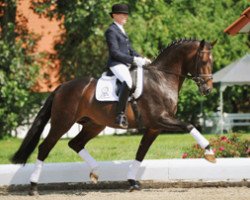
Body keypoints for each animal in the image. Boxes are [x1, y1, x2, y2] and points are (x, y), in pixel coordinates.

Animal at [11, 38, 216, 195]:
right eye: (203, 61)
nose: (207, 89)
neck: (162, 79)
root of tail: (62, 86)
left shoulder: (154, 127)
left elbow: (141, 152)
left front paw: (132, 181)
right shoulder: (160, 119)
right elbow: (189, 126)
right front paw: (209, 153)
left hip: (94, 125)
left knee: (75, 143)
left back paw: (95, 171)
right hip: (62, 123)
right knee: (45, 148)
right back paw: (33, 187)